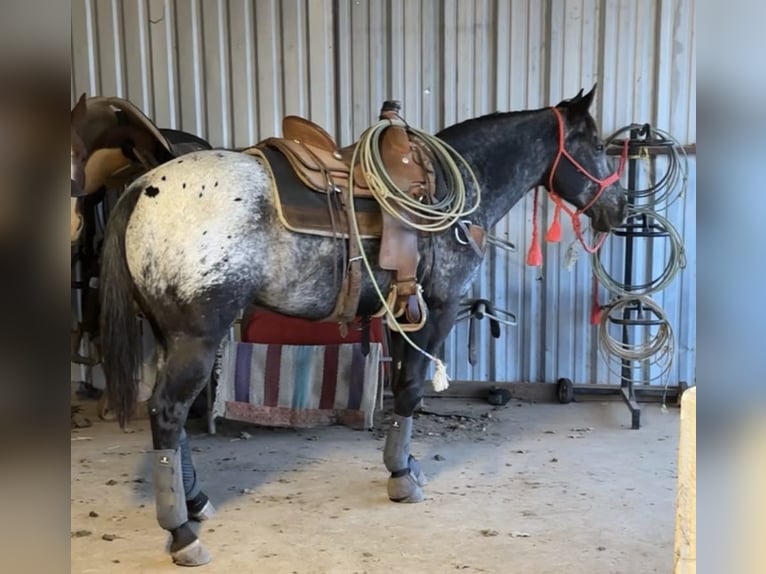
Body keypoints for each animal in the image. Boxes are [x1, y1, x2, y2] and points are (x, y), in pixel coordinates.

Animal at [100, 85, 632, 568]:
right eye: (598, 144)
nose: (621, 209)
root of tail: (142, 185)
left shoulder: (402, 316)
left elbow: (400, 391)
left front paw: (405, 464)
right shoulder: (438, 309)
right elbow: (413, 390)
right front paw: (403, 479)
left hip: (169, 335)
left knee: (171, 418)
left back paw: (194, 503)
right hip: (196, 337)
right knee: (167, 412)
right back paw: (182, 534)